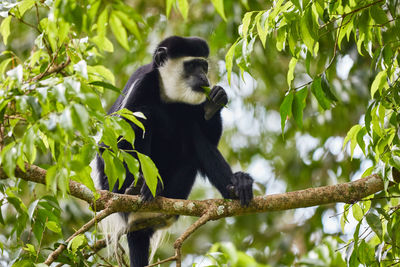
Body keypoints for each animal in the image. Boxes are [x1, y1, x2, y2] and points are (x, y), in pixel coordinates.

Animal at [90, 36, 253, 267]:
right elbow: (114, 145)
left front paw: (213, 104)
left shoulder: (195, 100)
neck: (167, 94)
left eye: (204, 66)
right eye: (192, 66)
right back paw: (137, 189)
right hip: (116, 192)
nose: (204, 77)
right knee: (144, 116)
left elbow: (208, 137)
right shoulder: (142, 85)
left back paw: (237, 187)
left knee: (194, 138)